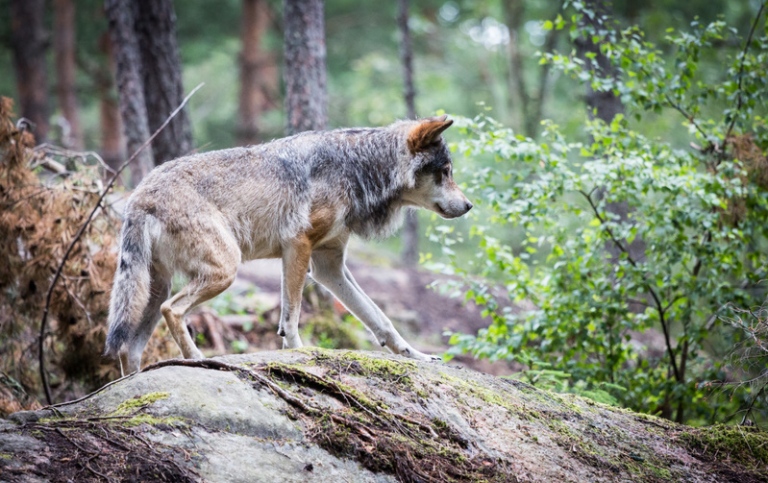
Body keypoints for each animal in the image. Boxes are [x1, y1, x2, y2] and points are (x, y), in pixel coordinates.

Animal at [105, 115, 472, 376]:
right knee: (173, 311)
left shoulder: (328, 267)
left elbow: (380, 319)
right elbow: (292, 317)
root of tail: (139, 195)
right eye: (445, 172)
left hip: (157, 289)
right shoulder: (298, 246)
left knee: (128, 348)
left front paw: (418, 355)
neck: (356, 167)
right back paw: (197, 358)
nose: (469, 206)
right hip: (222, 271)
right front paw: (298, 352)